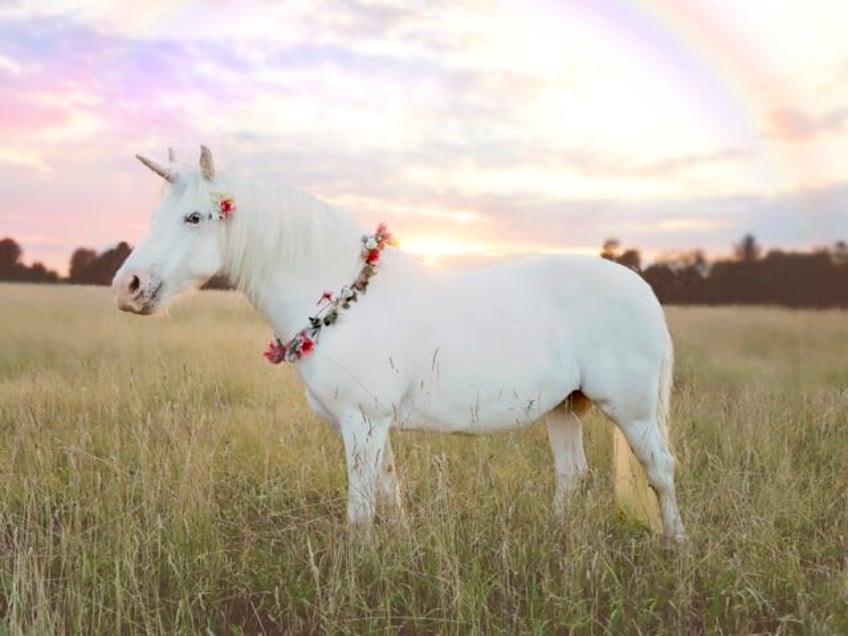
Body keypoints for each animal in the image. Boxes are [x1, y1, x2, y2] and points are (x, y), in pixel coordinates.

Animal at [112, 147, 684, 540]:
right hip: (565, 408)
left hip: (632, 412)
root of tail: (642, 289)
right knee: (572, 476)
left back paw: (676, 551)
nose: (128, 287)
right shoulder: (372, 424)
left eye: (194, 218)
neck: (340, 300)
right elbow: (388, 491)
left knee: (660, 472)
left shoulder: (363, 421)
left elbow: (362, 507)